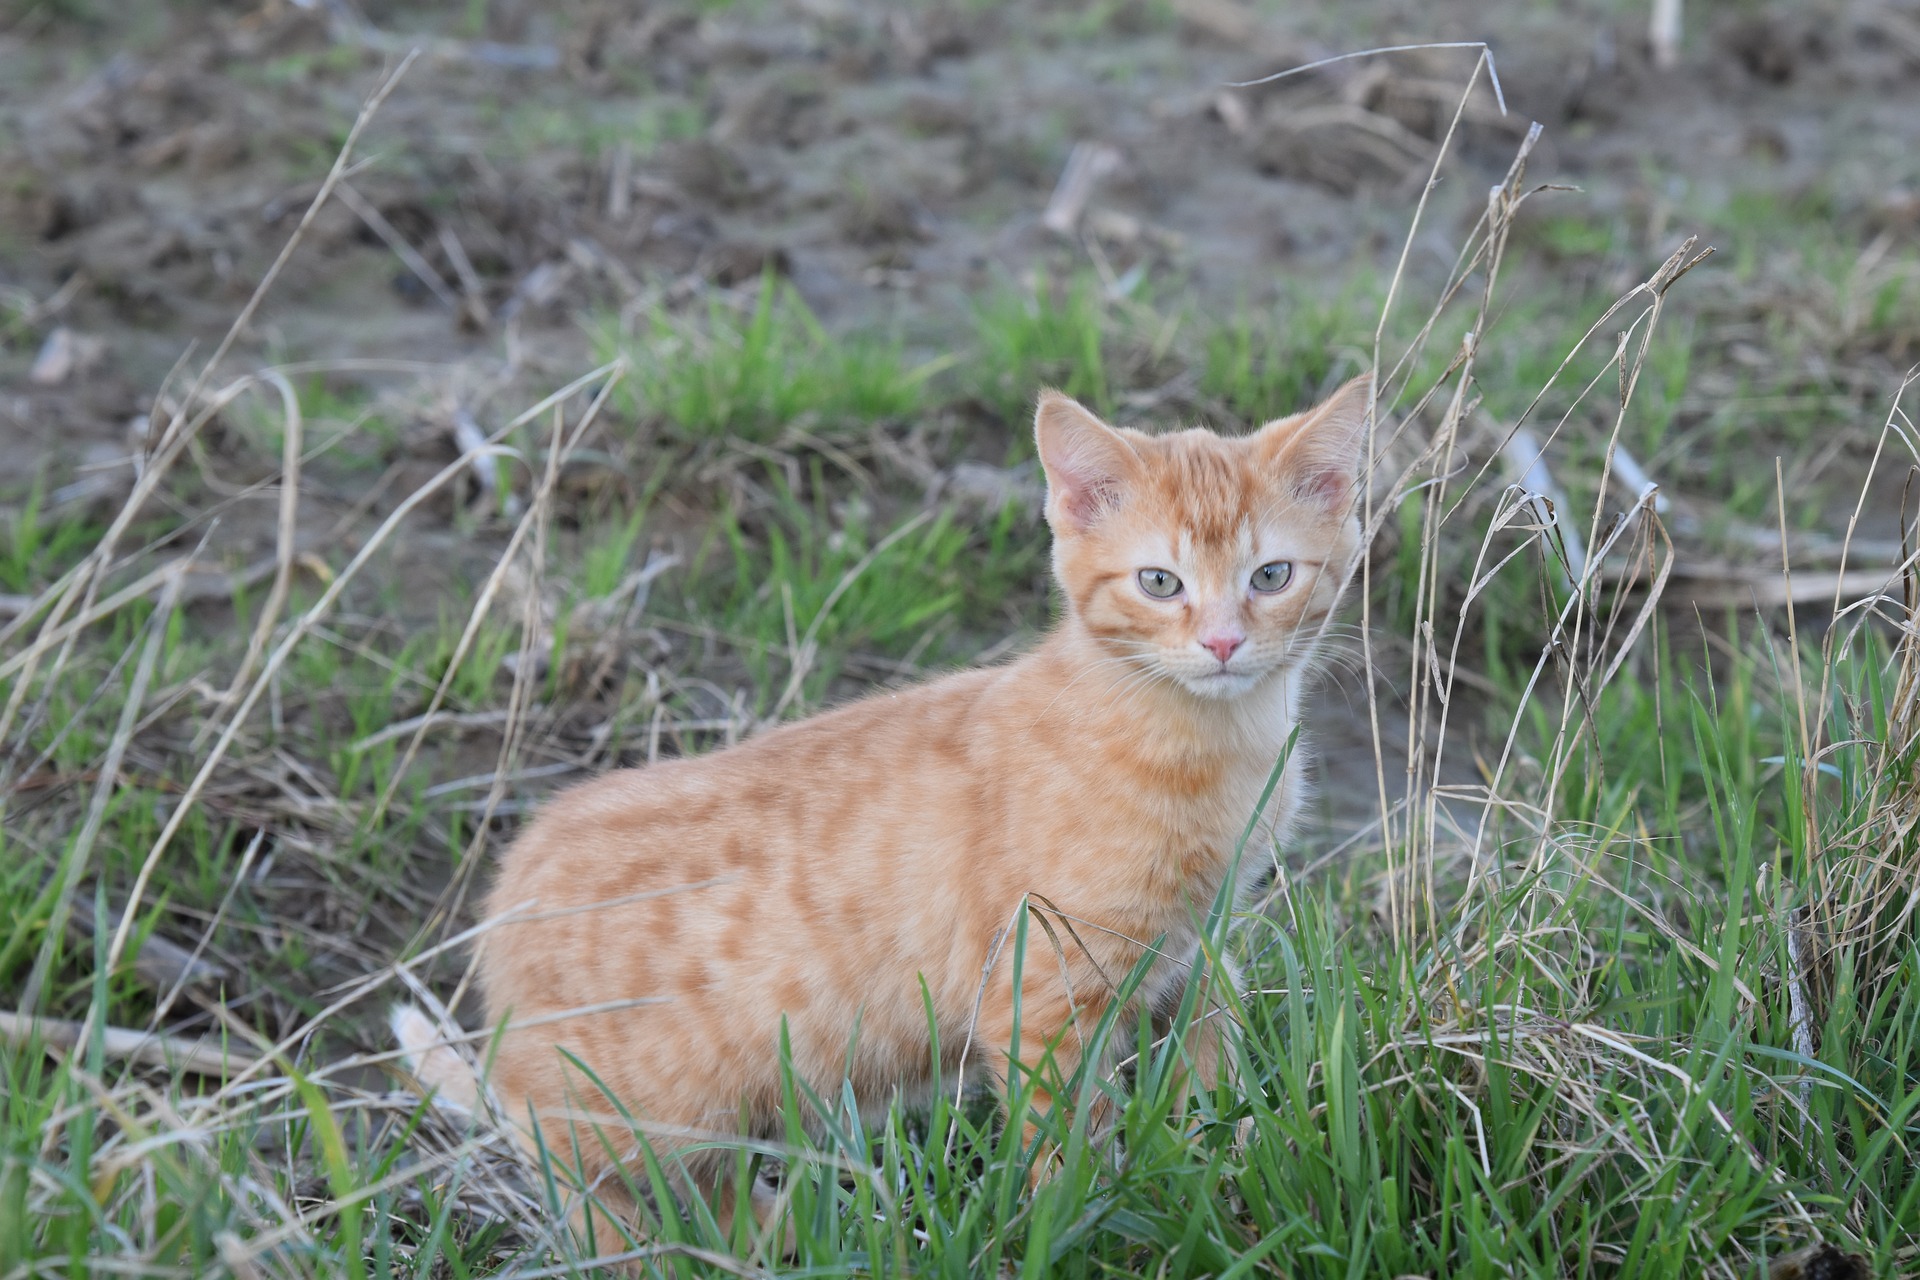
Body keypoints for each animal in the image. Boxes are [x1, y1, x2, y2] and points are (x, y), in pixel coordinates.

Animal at [397, 370, 1374, 1251]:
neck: (1211, 745)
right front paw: (1090, 1227)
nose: (1223, 643)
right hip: (629, 1117)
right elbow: (1069, 1146)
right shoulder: (1042, 992)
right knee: (586, 1183)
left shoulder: (1197, 944)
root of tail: (506, 891)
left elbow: (1214, 1063)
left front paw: (1228, 1159)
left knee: (703, 1199)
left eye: (1272, 575)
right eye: (1160, 582)